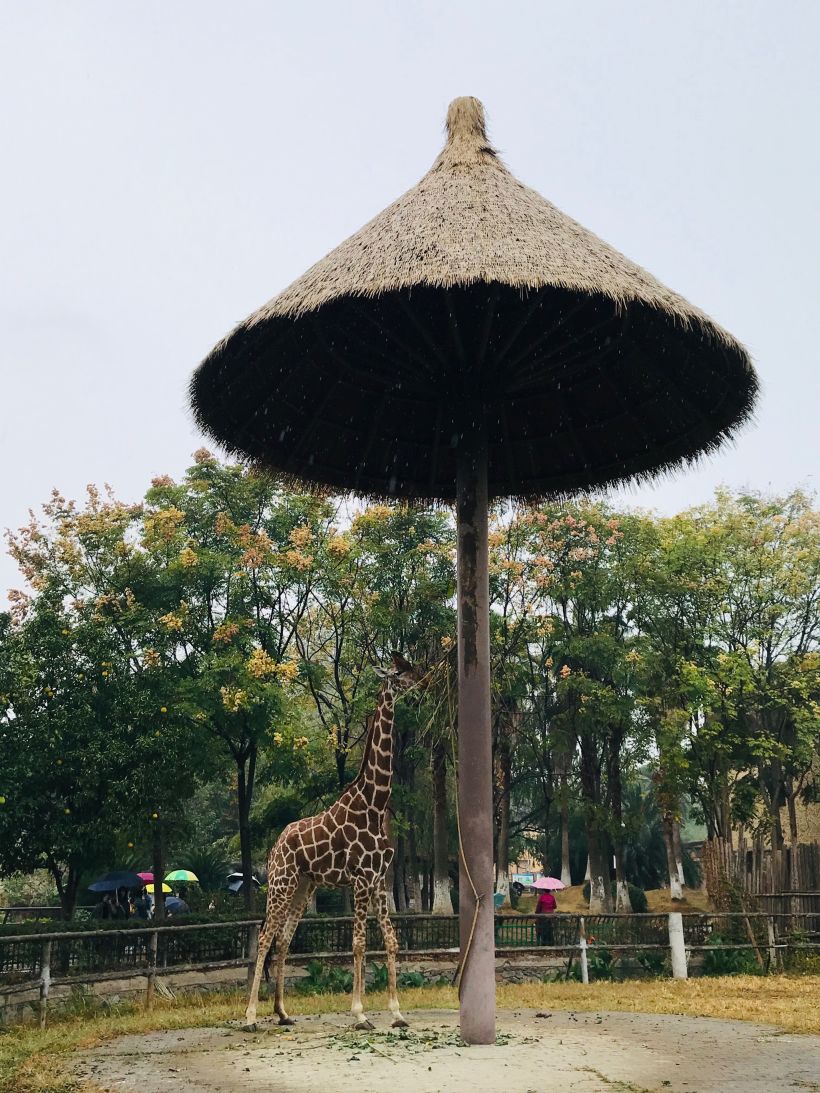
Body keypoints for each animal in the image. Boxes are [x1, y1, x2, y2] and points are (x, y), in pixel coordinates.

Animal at [242, 651, 424, 1027]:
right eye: (399, 673)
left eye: (411, 667)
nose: (424, 681)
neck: (375, 802)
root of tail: (273, 847)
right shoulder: (361, 878)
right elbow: (358, 943)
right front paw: (359, 1013)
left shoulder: (379, 879)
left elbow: (391, 939)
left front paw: (397, 1012)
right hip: (281, 883)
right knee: (266, 936)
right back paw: (250, 1016)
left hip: (304, 885)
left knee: (284, 938)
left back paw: (282, 1012)